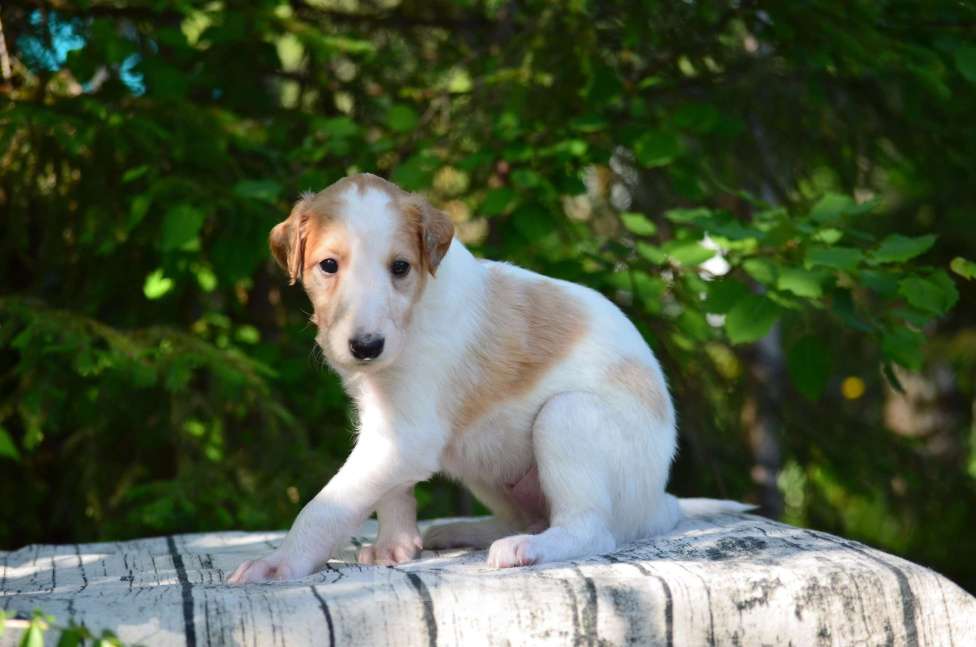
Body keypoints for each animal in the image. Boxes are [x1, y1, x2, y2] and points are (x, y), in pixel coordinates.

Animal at [229, 175, 748, 584]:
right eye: (328, 266)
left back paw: (528, 548)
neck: (418, 308)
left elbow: (326, 506)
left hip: (567, 418)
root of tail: (661, 500)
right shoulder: (385, 422)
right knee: (528, 516)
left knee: (589, 528)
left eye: (400, 267)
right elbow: (391, 493)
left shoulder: (406, 434)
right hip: (485, 460)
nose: (367, 347)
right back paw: (468, 531)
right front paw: (396, 545)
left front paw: (280, 564)